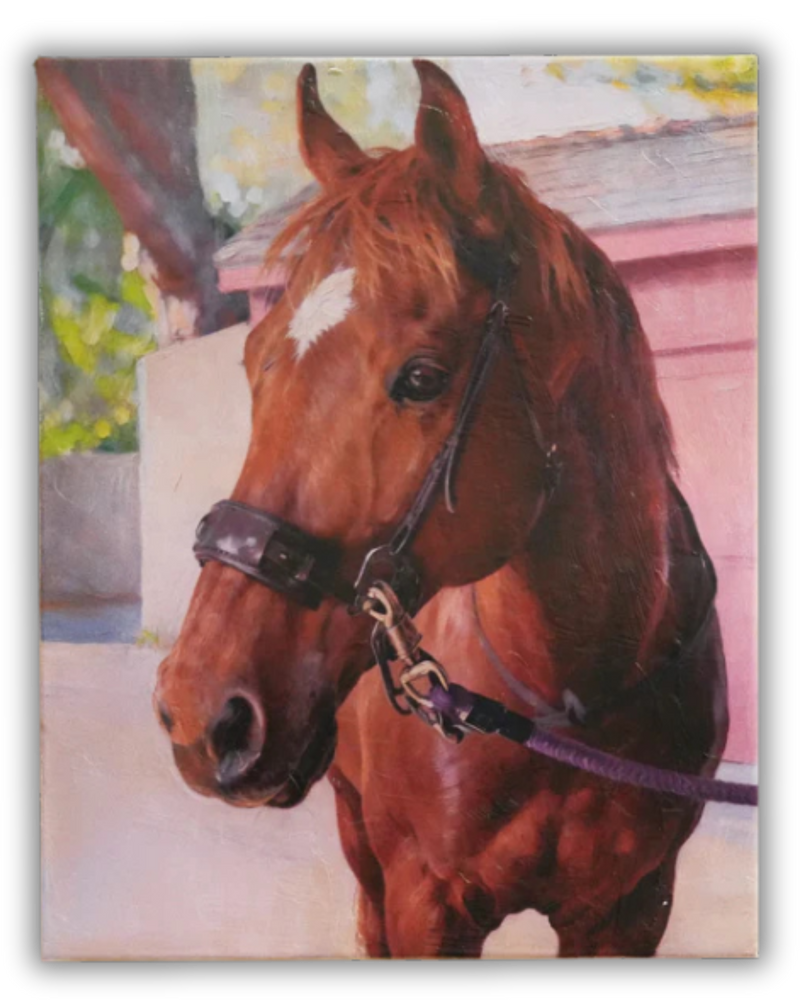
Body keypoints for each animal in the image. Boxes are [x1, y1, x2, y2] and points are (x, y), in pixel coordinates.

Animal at [154, 60, 729, 958]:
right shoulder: (427, 901)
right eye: (254, 358)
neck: (567, 699)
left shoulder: (632, 907)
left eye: (422, 377)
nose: (197, 710)